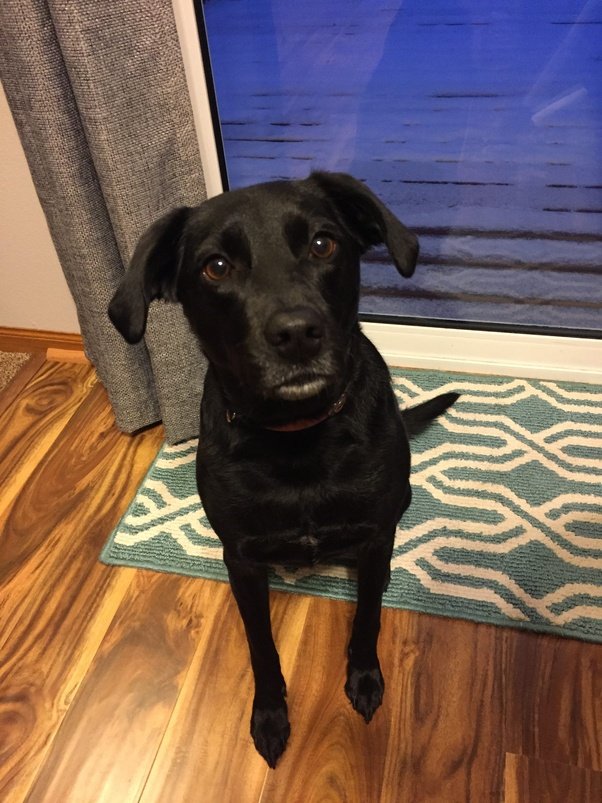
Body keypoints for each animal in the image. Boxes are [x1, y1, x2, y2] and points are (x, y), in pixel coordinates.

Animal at [109, 172, 457, 767]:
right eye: (216, 266)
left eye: (323, 243)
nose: (296, 333)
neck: (298, 439)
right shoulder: (242, 559)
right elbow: (261, 647)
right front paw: (270, 715)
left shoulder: (372, 532)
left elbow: (367, 616)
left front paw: (365, 676)